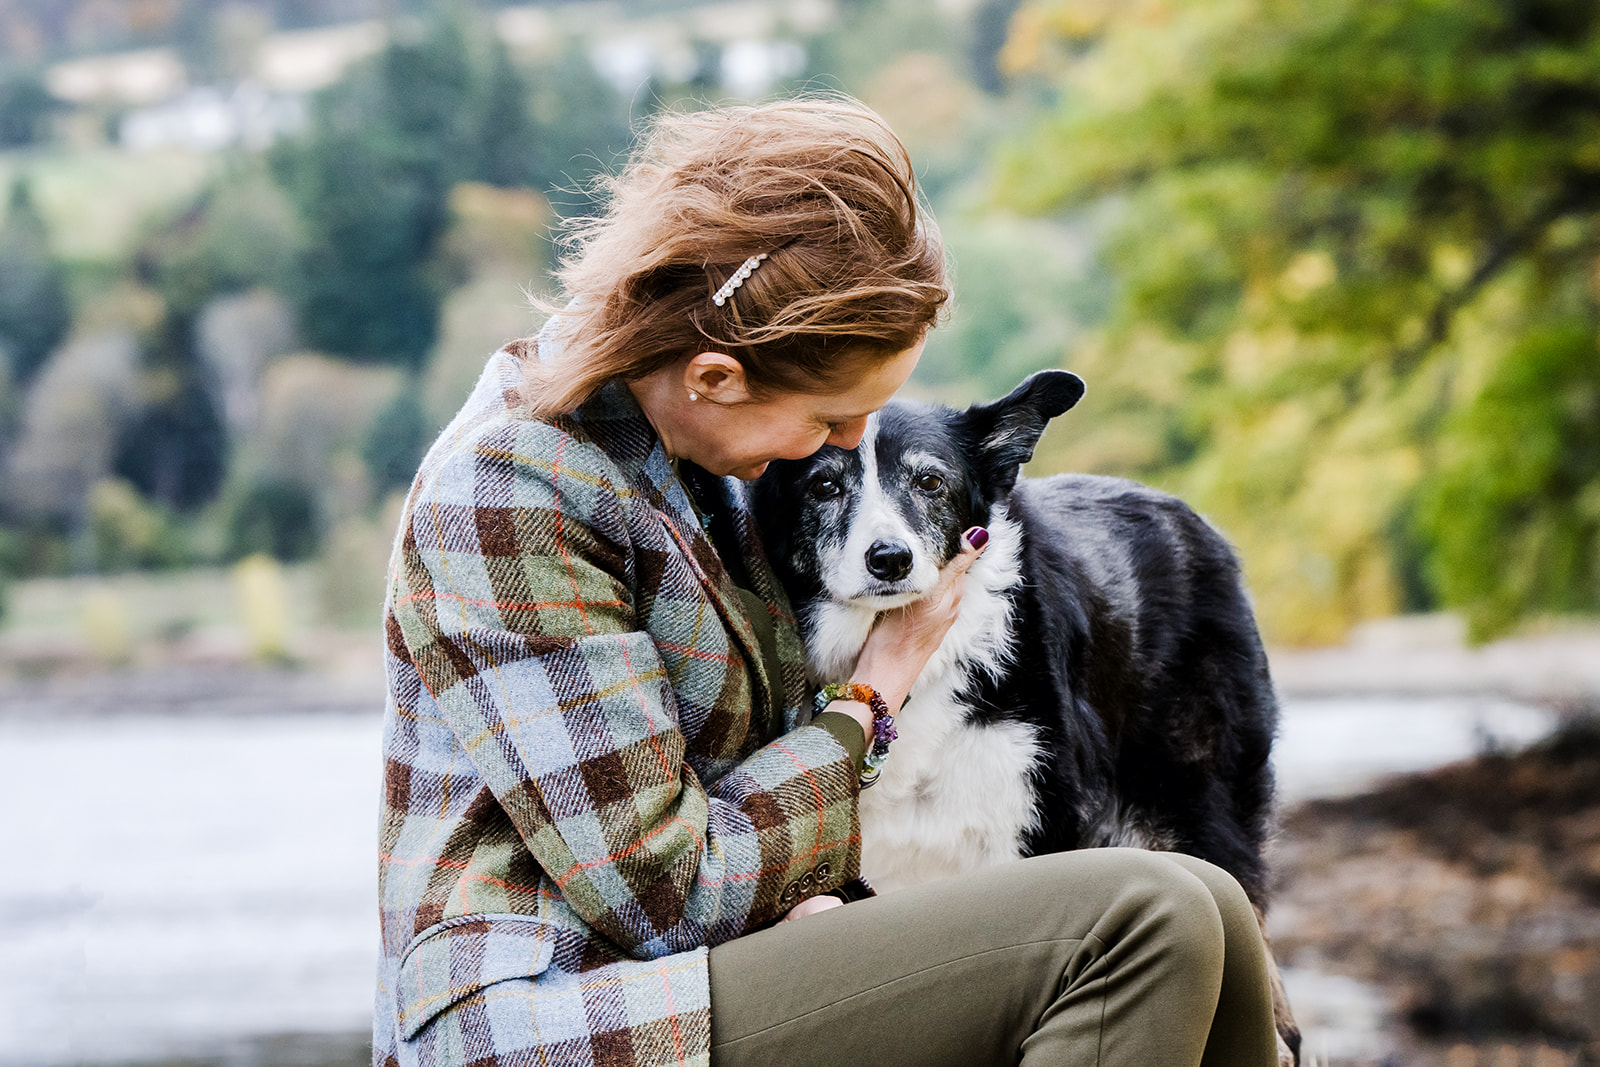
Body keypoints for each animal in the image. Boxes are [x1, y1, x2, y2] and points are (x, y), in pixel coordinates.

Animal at [755, 371, 1292, 1062]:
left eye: (930, 482)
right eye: (823, 485)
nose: (890, 559)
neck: (919, 675)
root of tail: (1195, 521)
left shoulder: (1038, 826)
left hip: (1202, 815)